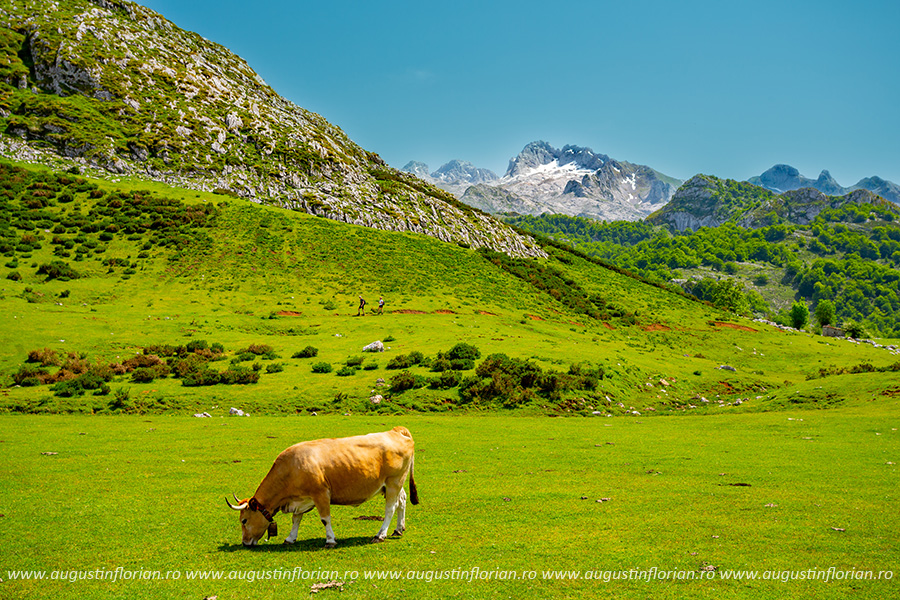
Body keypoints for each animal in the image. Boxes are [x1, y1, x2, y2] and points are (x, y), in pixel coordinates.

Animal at [226, 426, 419, 548]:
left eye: (244, 521)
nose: (244, 542)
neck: (291, 467)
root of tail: (396, 431)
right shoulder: (300, 499)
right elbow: (296, 519)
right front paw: (290, 538)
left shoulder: (321, 493)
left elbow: (325, 519)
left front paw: (330, 540)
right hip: (393, 484)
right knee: (402, 501)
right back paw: (398, 529)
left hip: (394, 482)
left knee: (390, 508)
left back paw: (380, 535)